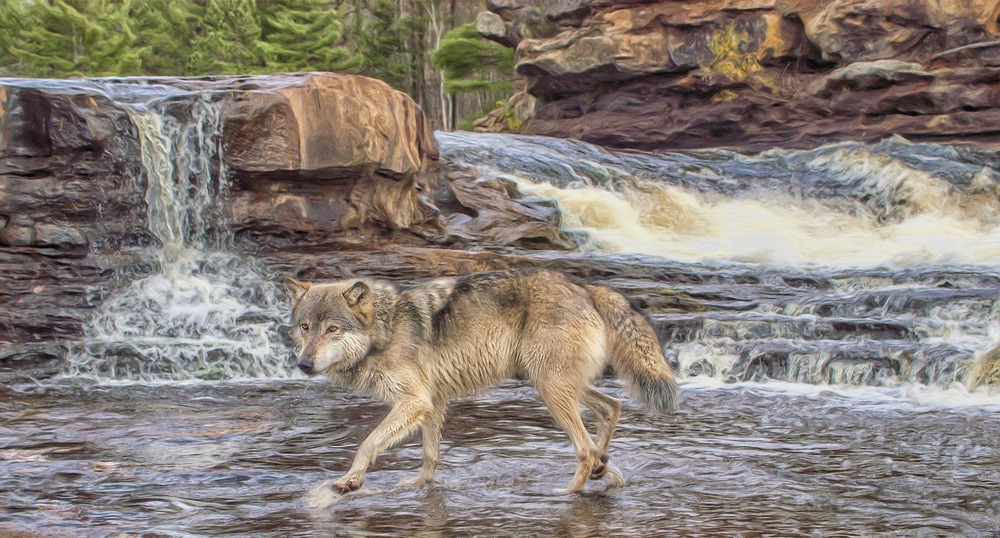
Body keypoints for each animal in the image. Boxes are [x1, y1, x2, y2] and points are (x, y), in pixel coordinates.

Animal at [285, 268, 677, 495]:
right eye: (305, 327)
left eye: (332, 329)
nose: (303, 364)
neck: (388, 327)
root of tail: (586, 287)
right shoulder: (432, 403)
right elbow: (431, 453)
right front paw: (420, 485)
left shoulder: (414, 402)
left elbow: (367, 443)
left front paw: (350, 480)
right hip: (560, 384)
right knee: (612, 408)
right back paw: (603, 469)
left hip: (550, 389)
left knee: (584, 447)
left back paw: (566, 493)